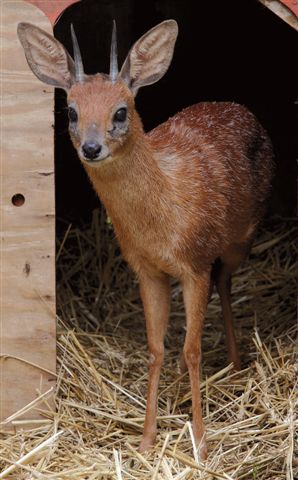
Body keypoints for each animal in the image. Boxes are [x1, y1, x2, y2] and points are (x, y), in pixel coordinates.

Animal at [18, 20, 274, 460]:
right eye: (71, 111)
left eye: (121, 112)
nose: (91, 147)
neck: (162, 218)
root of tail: (239, 107)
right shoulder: (146, 269)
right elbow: (156, 349)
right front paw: (147, 438)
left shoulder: (194, 262)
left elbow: (192, 349)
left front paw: (201, 442)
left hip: (242, 235)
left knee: (225, 282)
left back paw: (237, 364)